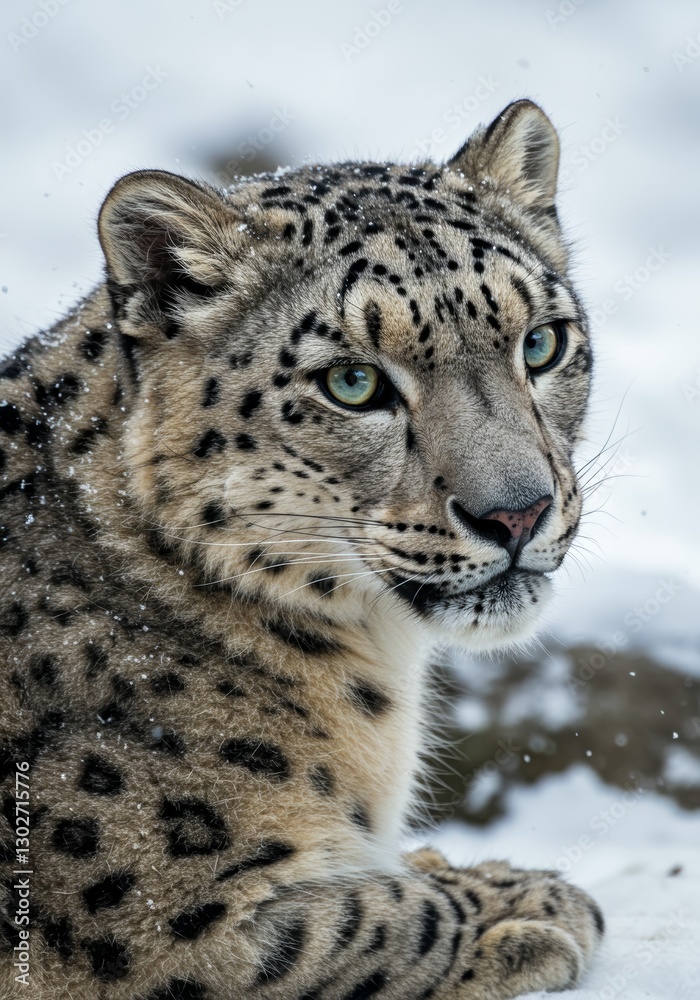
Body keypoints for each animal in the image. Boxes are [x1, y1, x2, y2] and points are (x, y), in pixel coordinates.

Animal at [0, 99, 603, 1000]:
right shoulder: (157, 930)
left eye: (542, 344)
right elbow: (369, 920)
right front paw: (517, 910)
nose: (518, 513)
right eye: (352, 383)